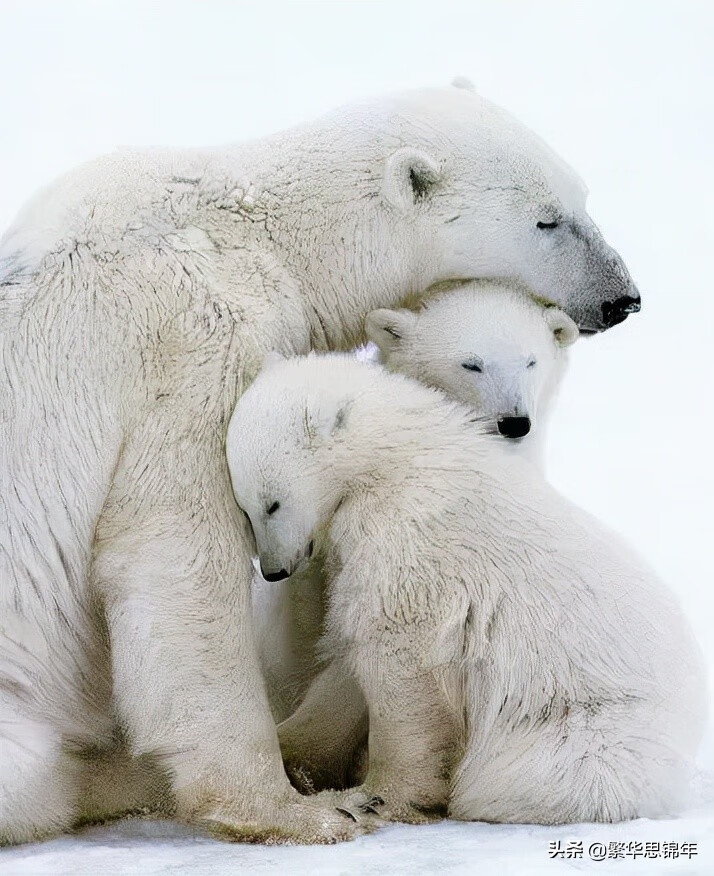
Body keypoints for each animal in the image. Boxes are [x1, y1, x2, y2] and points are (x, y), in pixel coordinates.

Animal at [0, 80, 636, 840]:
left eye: (584, 196)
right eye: (546, 220)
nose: (624, 297)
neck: (261, 234)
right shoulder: (192, 343)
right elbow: (177, 552)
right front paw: (298, 808)